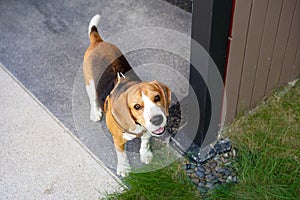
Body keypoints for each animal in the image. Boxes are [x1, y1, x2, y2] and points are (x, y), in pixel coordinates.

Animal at [83, 14, 170, 176]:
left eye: (157, 97)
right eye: (136, 106)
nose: (157, 120)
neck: (137, 126)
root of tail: (98, 42)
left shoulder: (147, 131)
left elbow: (145, 142)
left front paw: (145, 155)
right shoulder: (117, 139)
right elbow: (122, 154)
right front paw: (124, 168)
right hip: (89, 83)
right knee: (93, 99)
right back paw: (95, 112)